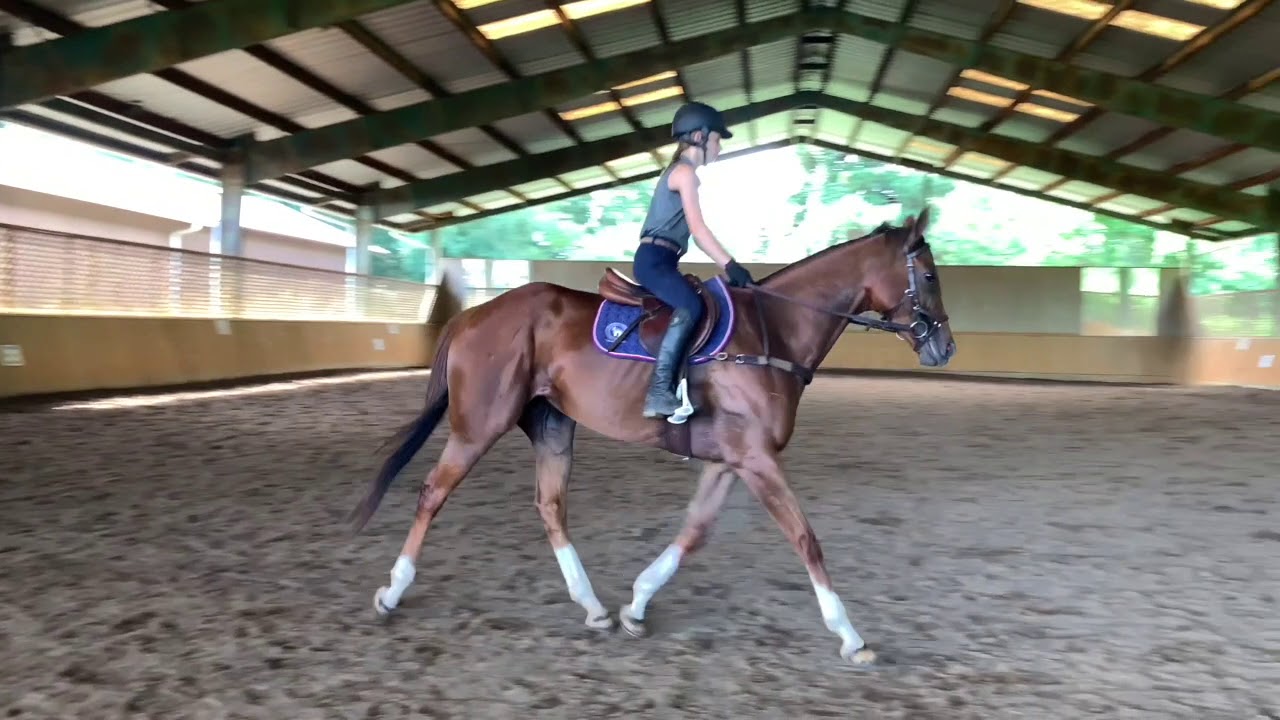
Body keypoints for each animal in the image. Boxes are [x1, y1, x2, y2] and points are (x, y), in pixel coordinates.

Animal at [348, 206, 956, 667]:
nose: (944, 347)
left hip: (551, 425)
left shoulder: (730, 461)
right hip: (480, 425)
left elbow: (694, 532)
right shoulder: (756, 460)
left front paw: (636, 605)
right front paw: (850, 636)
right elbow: (806, 539)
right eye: (928, 275)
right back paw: (391, 593)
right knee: (433, 492)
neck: (774, 334)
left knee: (550, 506)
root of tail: (475, 314)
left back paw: (593, 606)